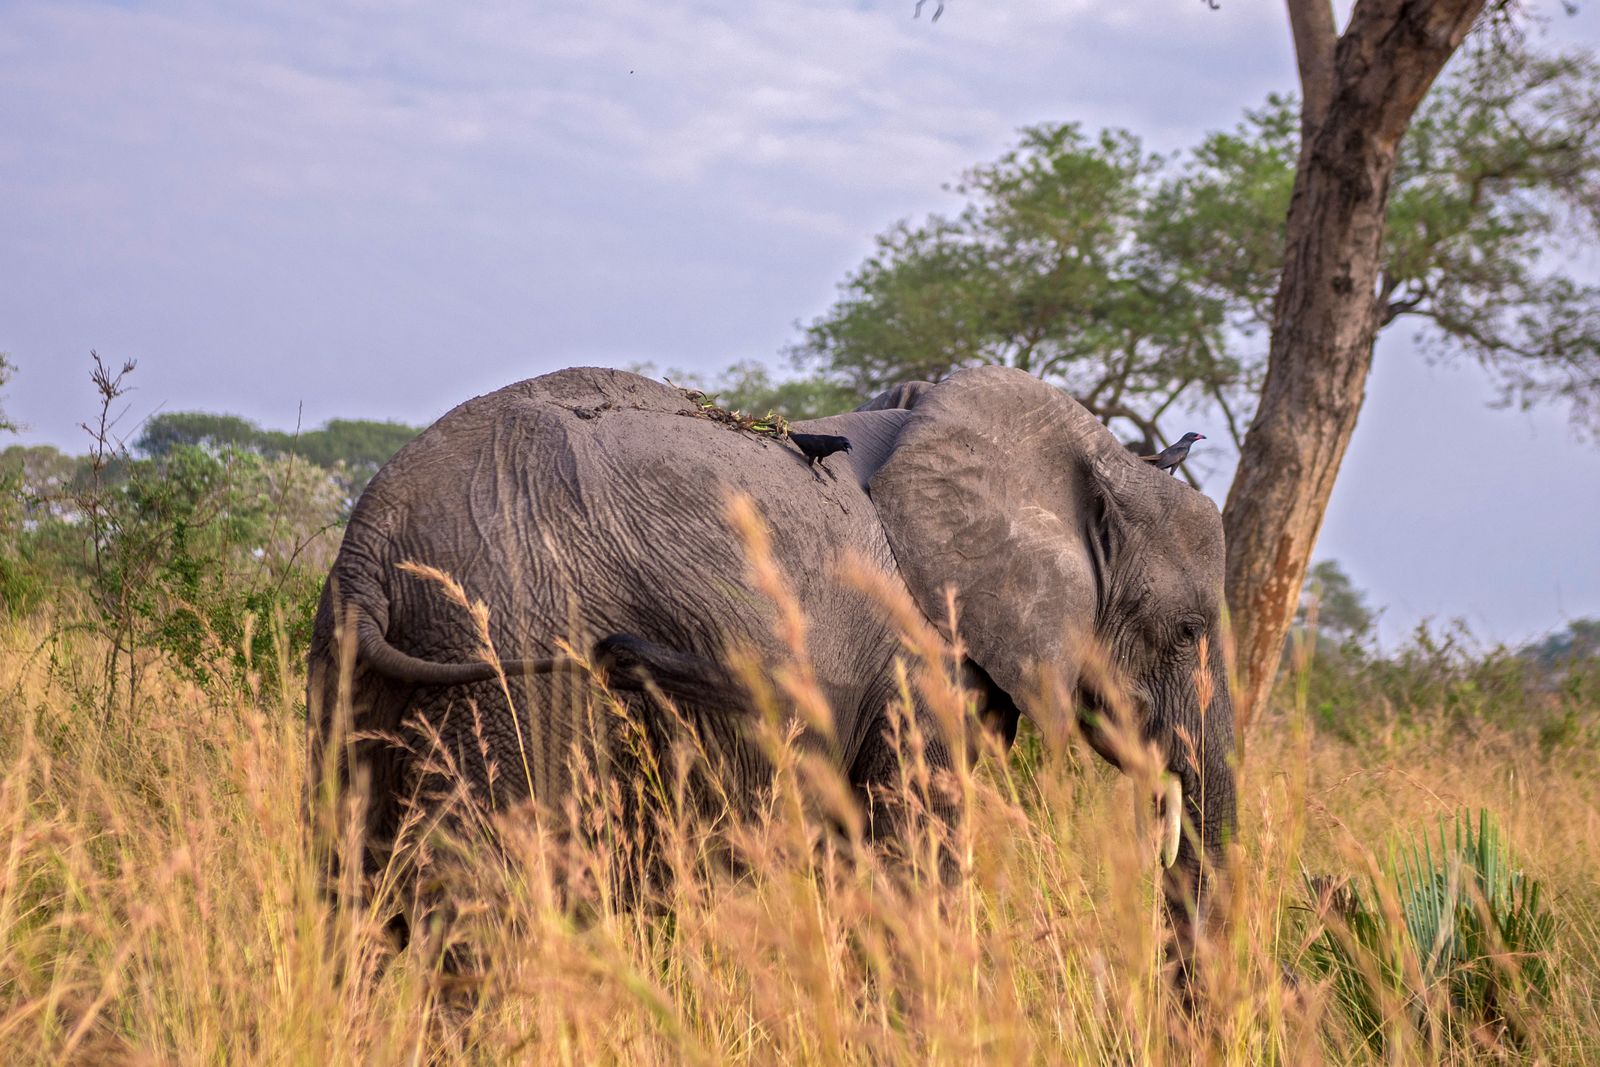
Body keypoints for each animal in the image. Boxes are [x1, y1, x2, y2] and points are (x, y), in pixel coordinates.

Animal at [306, 365, 1236, 968]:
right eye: (1188, 630)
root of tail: (368, 546)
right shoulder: (919, 661)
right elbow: (911, 870)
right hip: (506, 654)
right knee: (486, 902)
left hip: (356, 673)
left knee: (353, 887)